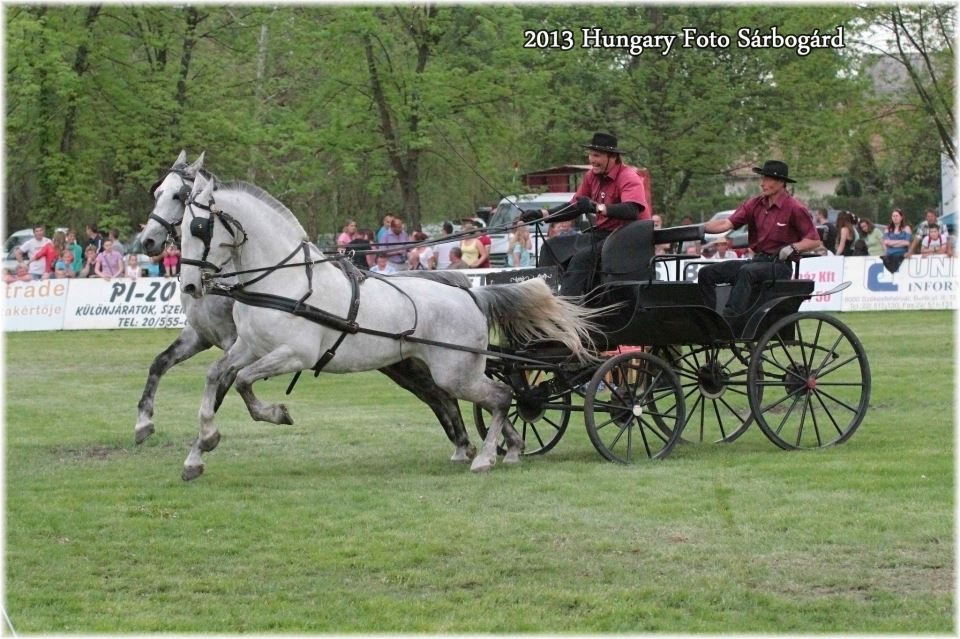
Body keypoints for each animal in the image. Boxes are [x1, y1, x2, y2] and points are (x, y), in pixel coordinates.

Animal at [134, 153, 476, 462]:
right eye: (157, 192)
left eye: (180, 196)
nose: (147, 241)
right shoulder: (203, 336)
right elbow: (163, 364)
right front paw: (144, 423)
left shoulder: (245, 343)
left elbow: (226, 386)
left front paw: (200, 447)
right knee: (439, 395)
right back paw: (466, 444)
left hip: (412, 361)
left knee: (443, 393)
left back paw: (470, 443)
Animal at [179, 172, 600, 478]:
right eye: (180, 228)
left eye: (199, 227)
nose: (188, 285)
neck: (286, 281)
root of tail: (472, 295)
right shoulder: (247, 346)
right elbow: (217, 376)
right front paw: (200, 451)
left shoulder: (294, 354)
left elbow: (244, 382)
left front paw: (277, 414)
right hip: (450, 369)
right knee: (500, 397)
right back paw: (509, 449)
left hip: (454, 372)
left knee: (499, 396)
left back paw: (485, 458)